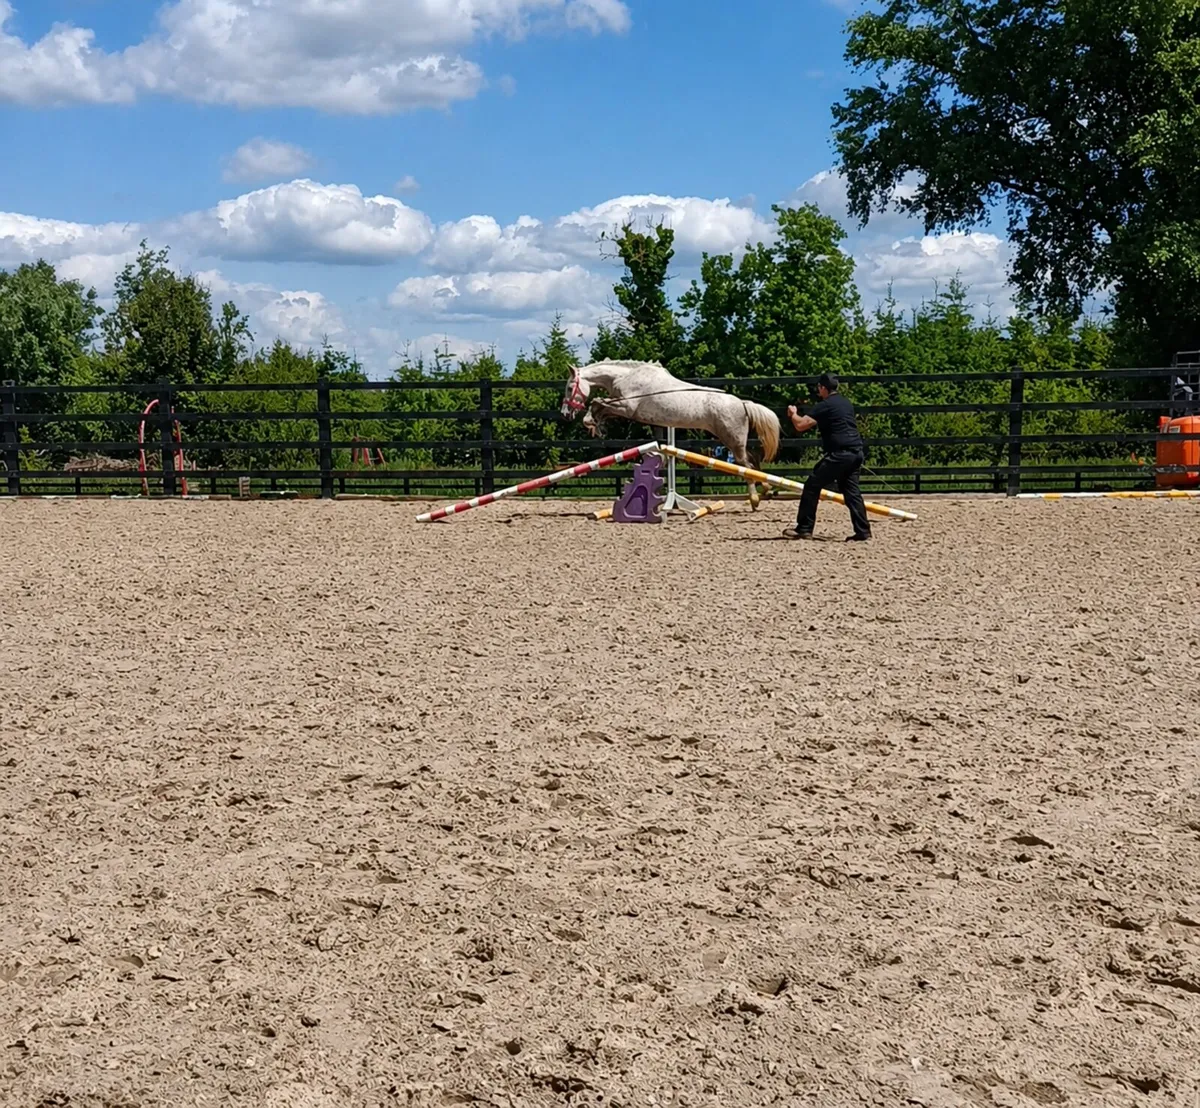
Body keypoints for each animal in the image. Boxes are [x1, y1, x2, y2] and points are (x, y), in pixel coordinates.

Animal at [560, 359, 781, 509]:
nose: (565, 414)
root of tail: (742, 404)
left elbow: (598, 403)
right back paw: (767, 490)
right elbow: (602, 406)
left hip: (731, 439)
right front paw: (597, 425)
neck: (626, 377)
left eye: (570, 387)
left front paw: (591, 422)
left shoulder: (627, 407)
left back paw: (754, 499)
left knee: (745, 464)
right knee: (753, 460)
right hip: (735, 441)